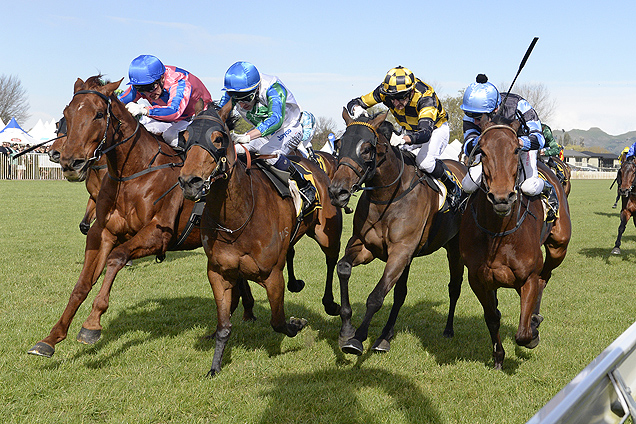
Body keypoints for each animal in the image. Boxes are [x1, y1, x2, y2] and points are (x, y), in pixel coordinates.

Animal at [26, 75, 256, 358]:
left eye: (99, 114)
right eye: (66, 114)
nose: (69, 161)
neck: (133, 174)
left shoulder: (157, 234)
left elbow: (116, 258)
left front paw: (92, 324)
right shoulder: (102, 231)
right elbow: (82, 284)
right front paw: (51, 338)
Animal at [176, 101, 346, 376]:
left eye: (218, 138)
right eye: (185, 138)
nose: (189, 182)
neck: (237, 219)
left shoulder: (272, 275)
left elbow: (278, 321)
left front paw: (297, 324)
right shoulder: (218, 273)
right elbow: (224, 325)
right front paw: (215, 365)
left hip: (327, 234)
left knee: (331, 261)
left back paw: (331, 303)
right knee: (292, 250)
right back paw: (296, 282)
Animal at [328, 109, 468, 354]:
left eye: (367, 148)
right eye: (339, 145)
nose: (338, 192)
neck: (386, 198)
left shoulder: (400, 251)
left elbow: (376, 297)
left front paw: (357, 338)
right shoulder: (366, 246)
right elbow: (344, 268)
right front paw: (346, 329)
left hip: (454, 249)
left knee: (454, 287)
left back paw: (448, 329)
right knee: (400, 292)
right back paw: (386, 335)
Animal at [458, 119, 572, 368]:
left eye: (515, 150)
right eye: (482, 151)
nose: (502, 197)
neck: (498, 234)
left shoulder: (528, 277)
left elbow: (523, 334)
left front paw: (533, 331)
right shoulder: (478, 280)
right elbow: (492, 318)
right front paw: (498, 356)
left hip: (558, 247)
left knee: (544, 277)